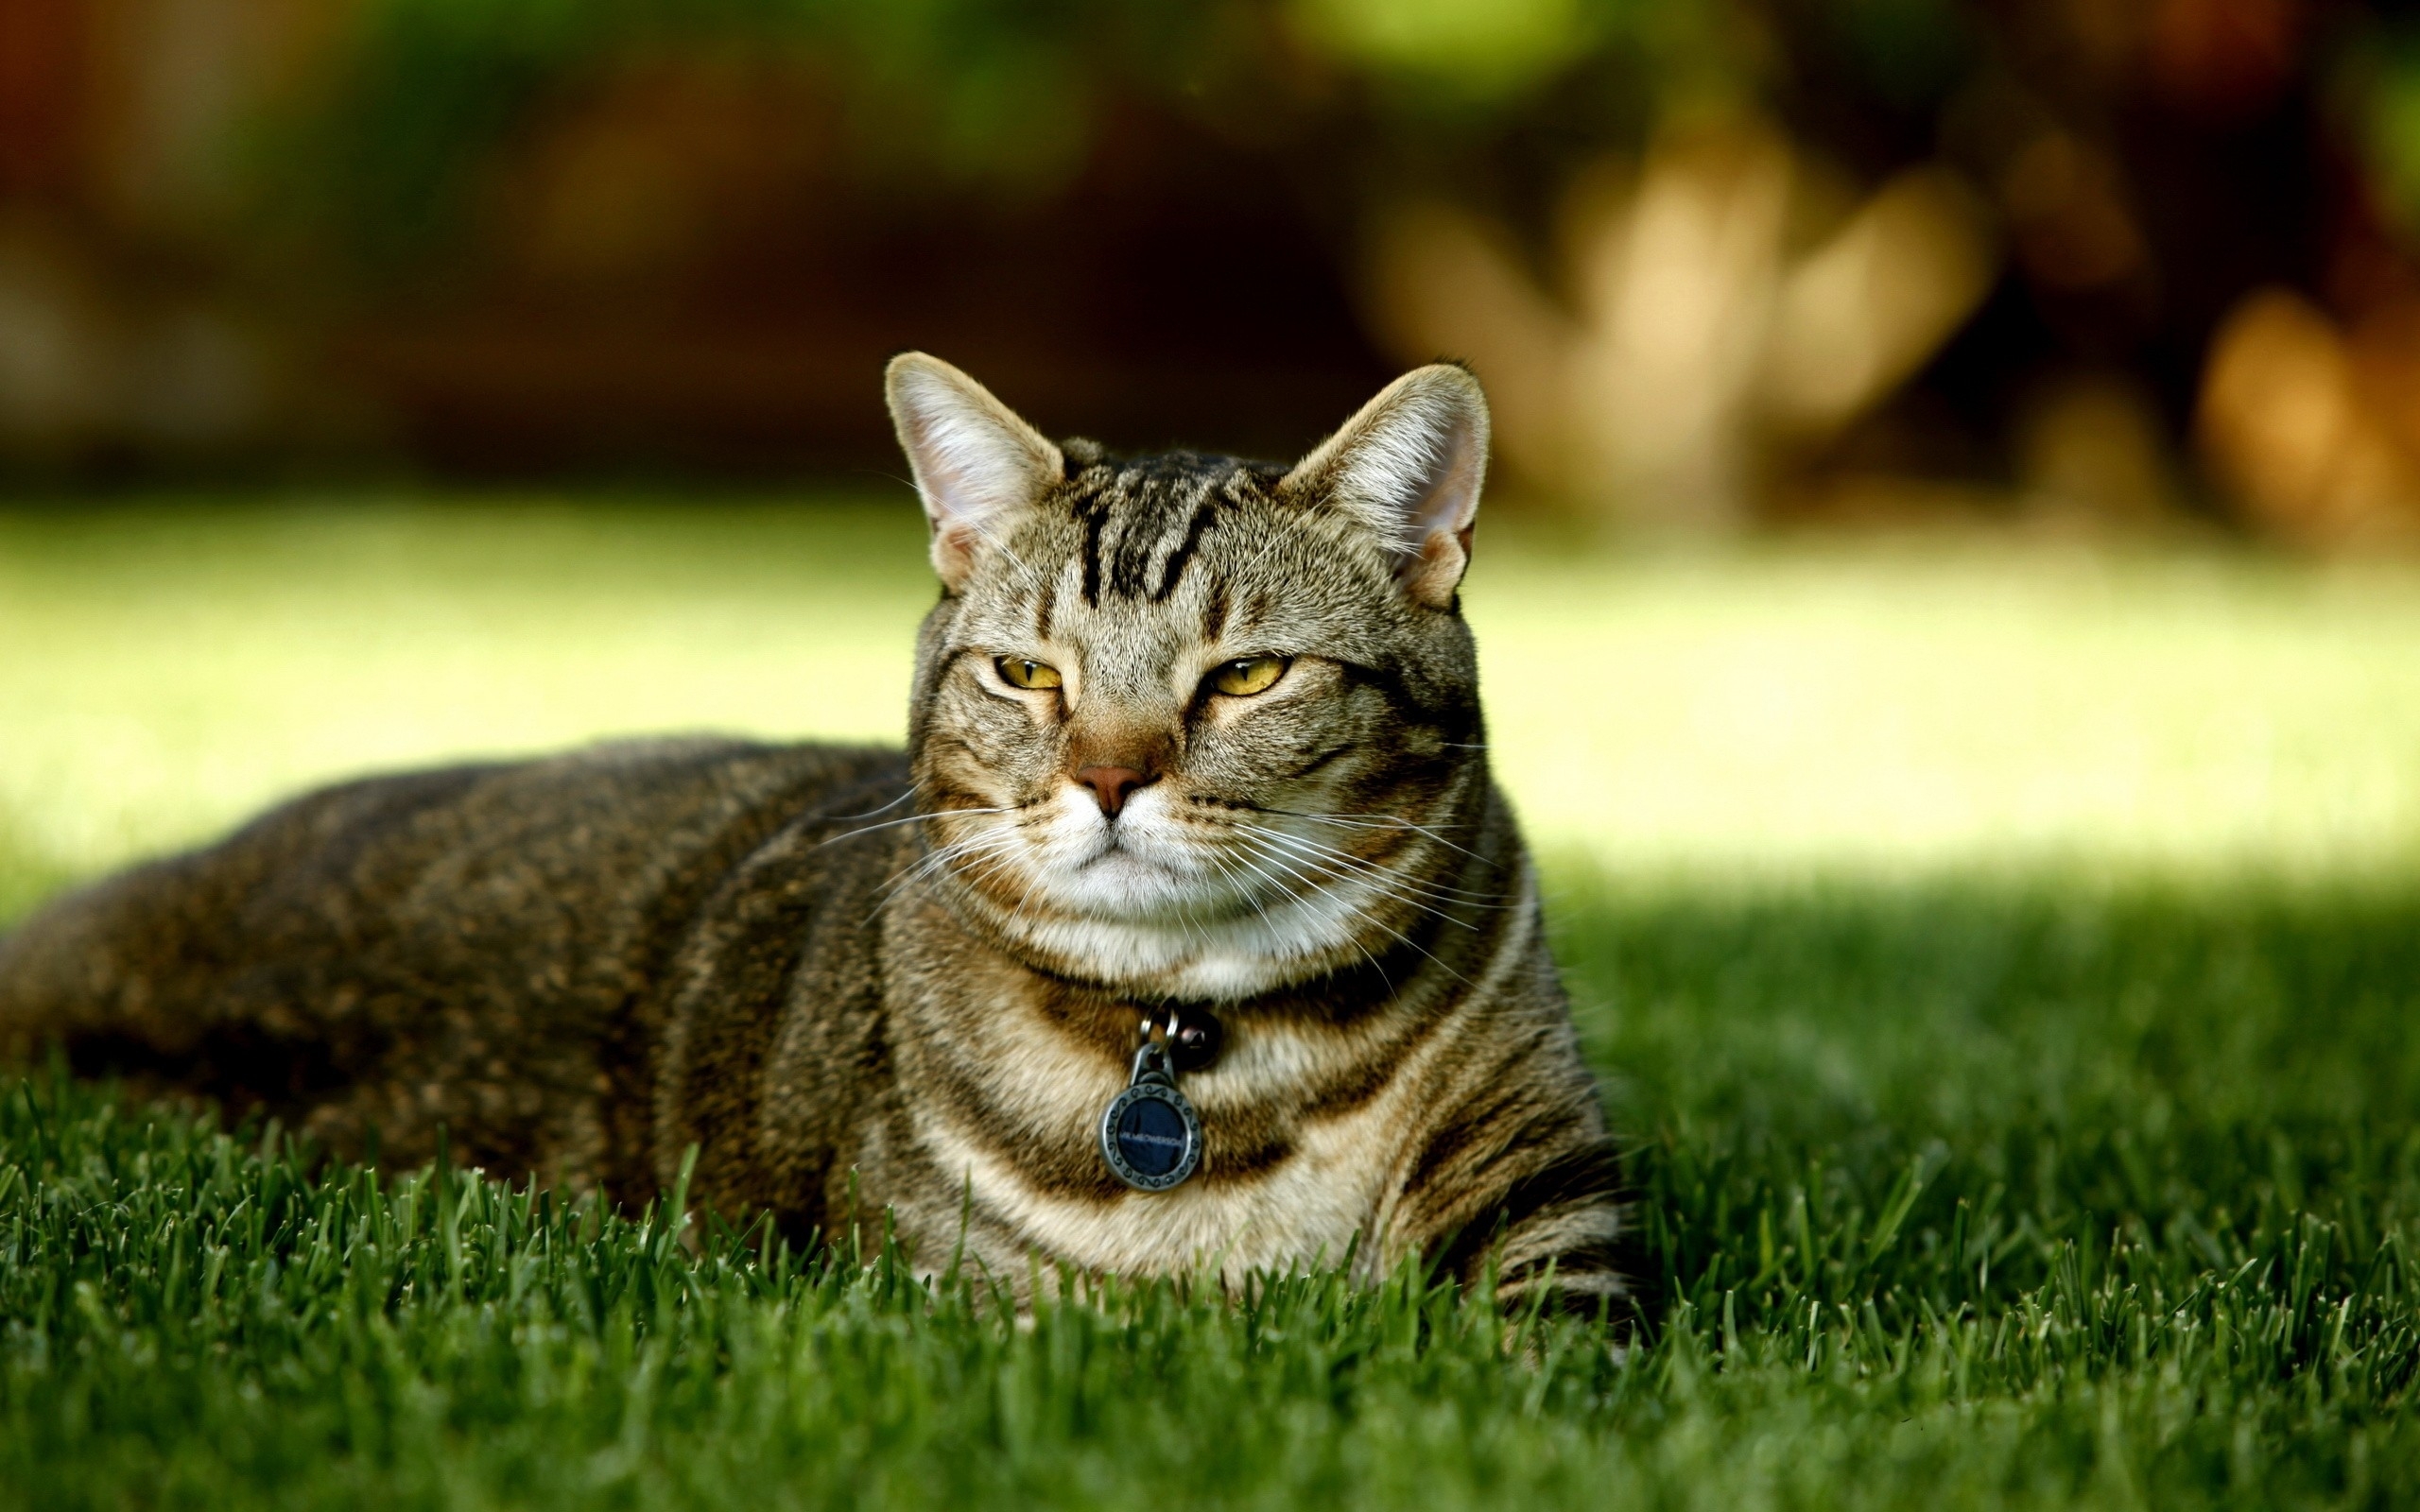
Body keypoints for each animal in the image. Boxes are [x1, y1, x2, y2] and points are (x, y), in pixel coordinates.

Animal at [0, 352, 1635, 1306]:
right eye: (1027, 675)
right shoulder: (964, 1298)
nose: (1107, 781)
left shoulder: (1553, 1195)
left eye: (1245, 677)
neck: (1203, 1044)